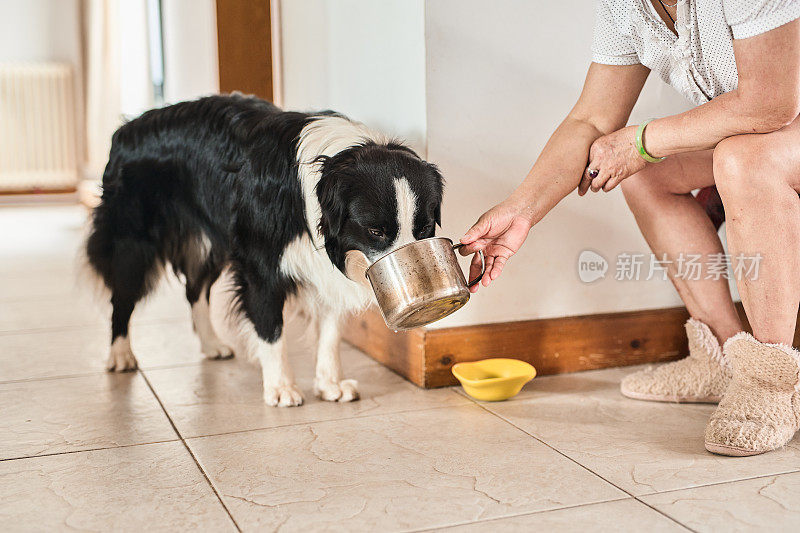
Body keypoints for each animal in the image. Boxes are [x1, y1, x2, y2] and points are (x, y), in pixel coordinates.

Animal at [87, 93, 444, 406]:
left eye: (424, 229)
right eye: (375, 231)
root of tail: (126, 129)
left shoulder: (323, 267)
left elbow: (330, 330)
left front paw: (329, 384)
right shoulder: (260, 263)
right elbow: (271, 327)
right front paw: (281, 388)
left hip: (212, 240)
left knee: (194, 288)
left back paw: (211, 343)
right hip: (133, 238)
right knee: (122, 294)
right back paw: (120, 354)